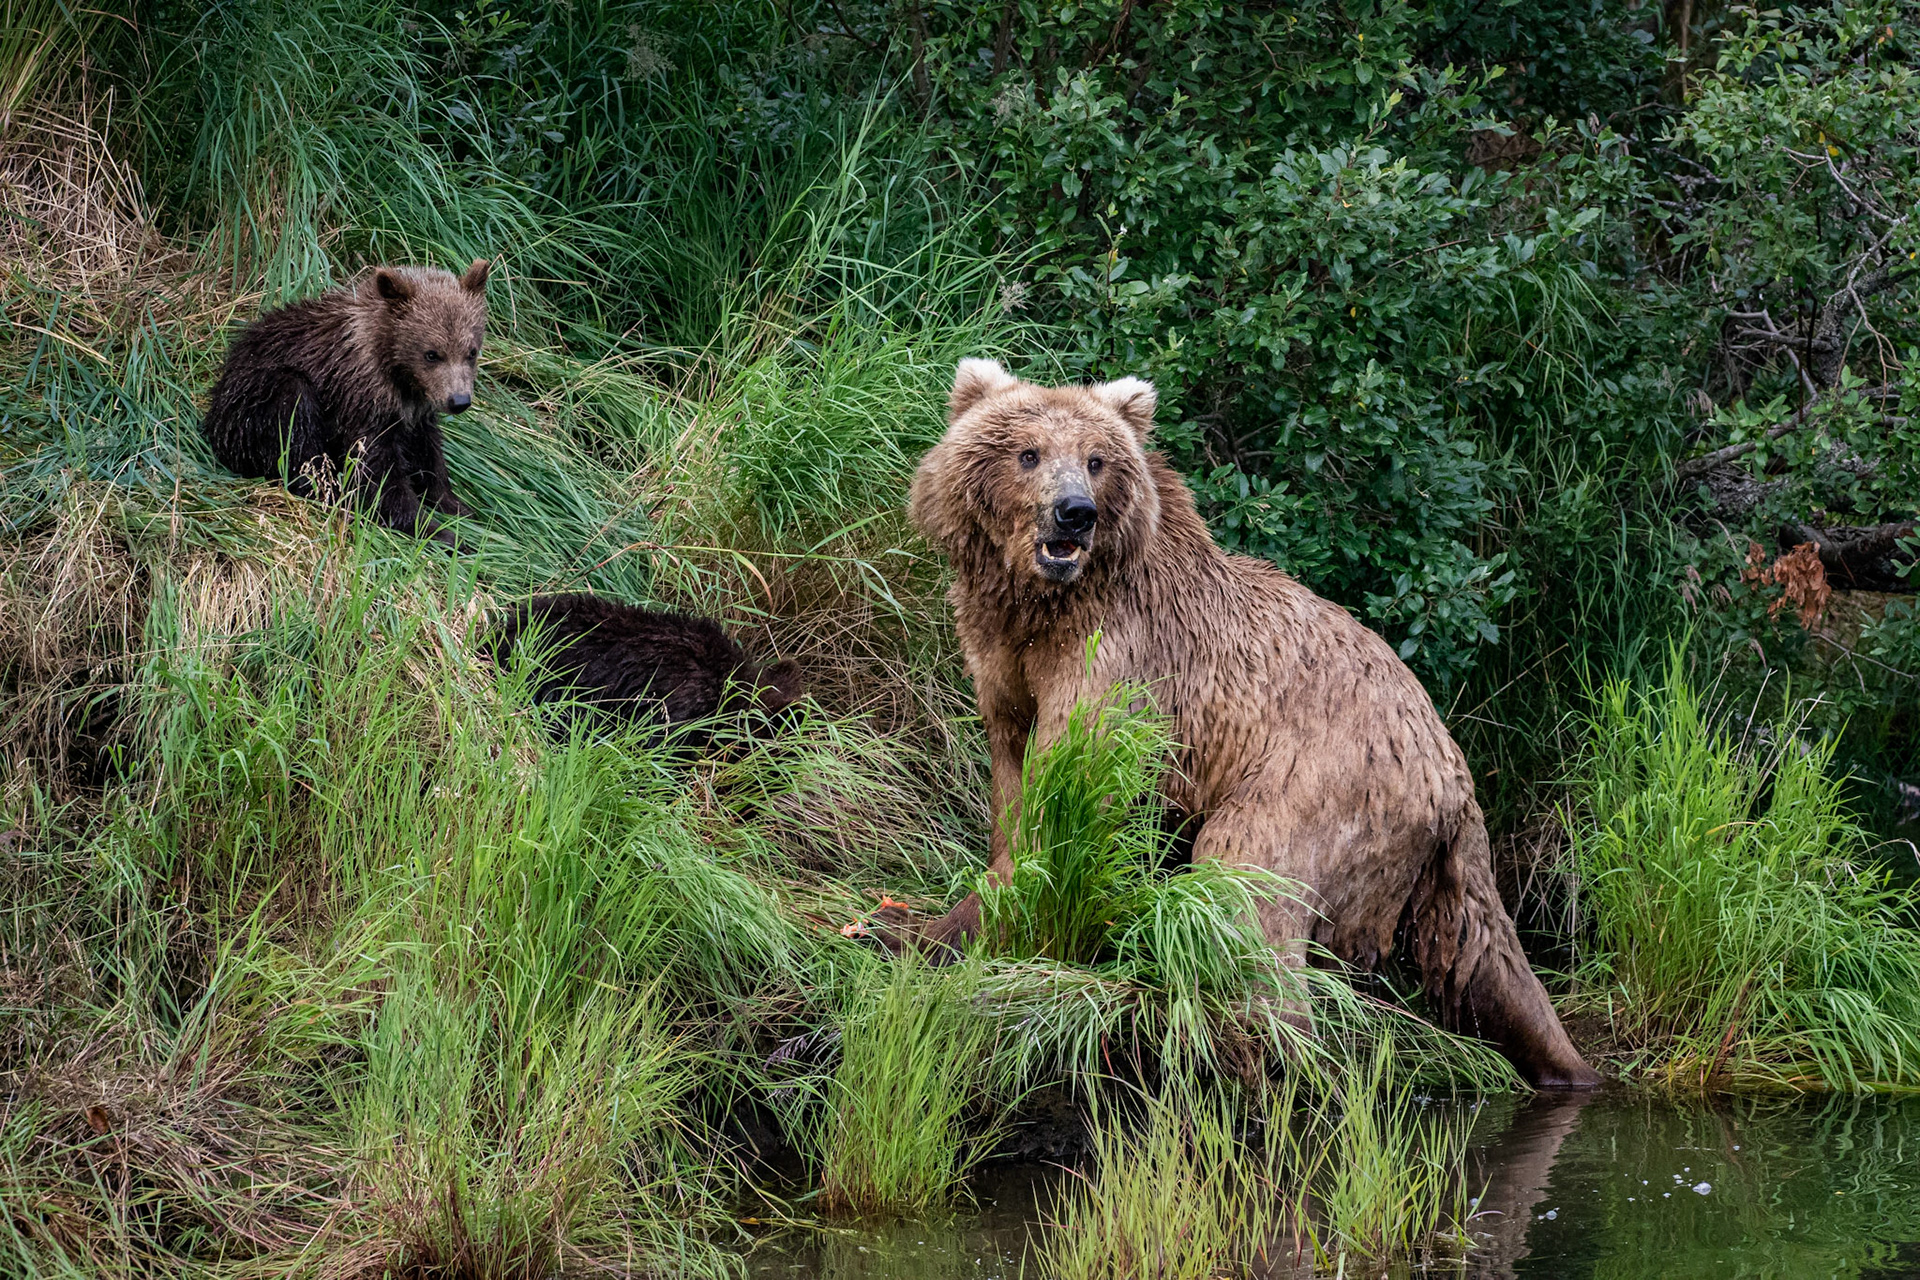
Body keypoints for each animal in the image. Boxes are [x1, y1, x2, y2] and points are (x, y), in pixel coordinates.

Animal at [202, 259, 490, 544]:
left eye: (471, 351)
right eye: (431, 354)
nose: (458, 400)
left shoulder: (414, 410)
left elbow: (427, 455)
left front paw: (459, 508)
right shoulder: (359, 402)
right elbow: (376, 473)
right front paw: (436, 530)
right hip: (256, 399)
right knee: (296, 431)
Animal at [905, 358, 1600, 1088]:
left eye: (1095, 460)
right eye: (1028, 453)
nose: (1076, 512)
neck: (1042, 603)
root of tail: (1449, 765)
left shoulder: (1120, 654)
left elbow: (1073, 786)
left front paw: (943, 925)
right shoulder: (1005, 664)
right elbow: (1013, 782)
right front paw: (959, 915)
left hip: (1324, 779)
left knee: (1246, 881)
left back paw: (1275, 1047)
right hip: (1428, 857)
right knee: (1480, 948)